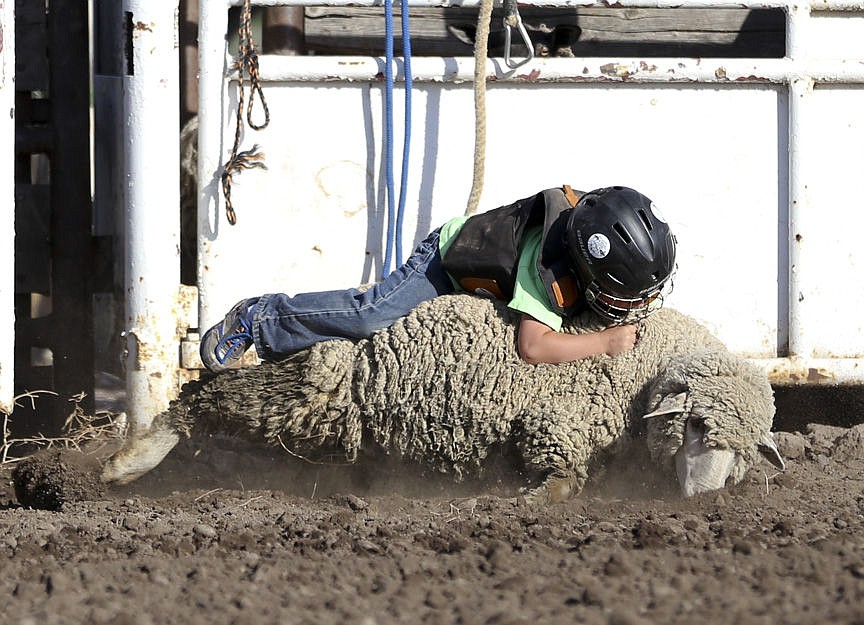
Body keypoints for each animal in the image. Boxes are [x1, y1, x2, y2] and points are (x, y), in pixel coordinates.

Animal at [101, 294, 784, 502]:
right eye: (696, 426)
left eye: (747, 450)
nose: (703, 497)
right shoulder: (558, 422)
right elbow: (563, 478)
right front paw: (532, 499)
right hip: (318, 392)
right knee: (208, 394)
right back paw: (128, 461)